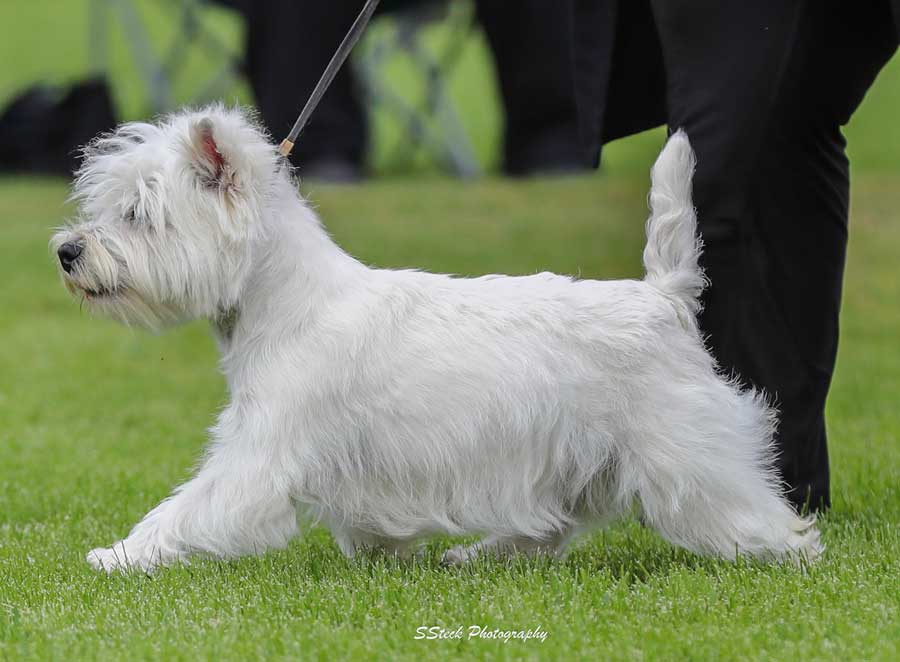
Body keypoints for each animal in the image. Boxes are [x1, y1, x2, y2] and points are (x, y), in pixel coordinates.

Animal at [51, 106, 824, 572]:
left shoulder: (262, 450)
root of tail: (665, 297)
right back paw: (475, 555)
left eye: (140, 214)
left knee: (739, 506)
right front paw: (386, 551)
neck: (285, 301)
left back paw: (794, 551)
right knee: (556, 518)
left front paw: (117, 555)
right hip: (584, 448)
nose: (66, 251)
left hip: (677, 444)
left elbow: (192, 505)